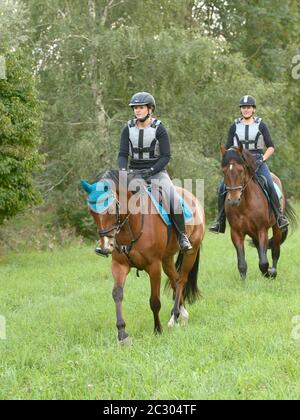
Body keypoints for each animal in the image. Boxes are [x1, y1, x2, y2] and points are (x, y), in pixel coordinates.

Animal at [81, 169, 205, 342]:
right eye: (91, 212)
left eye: (112, 209)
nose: (106, 246)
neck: (130, 226)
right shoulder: (119, 265)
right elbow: (117, 294)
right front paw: (122, 333)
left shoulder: (154, 266)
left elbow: (154, 301)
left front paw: (157, 330)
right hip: (167, 259)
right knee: (175, 279)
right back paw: (182, 315)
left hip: (190, 253)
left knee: (181, 280)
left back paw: (174, 317)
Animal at [220, 144, 298, 278]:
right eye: (224, 171)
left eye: (241, 170)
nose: (234, 200)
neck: (245, 204)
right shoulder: (236, 233)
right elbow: (242, 264)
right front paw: (245, 280)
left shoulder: (262, 229)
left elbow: (263, 263)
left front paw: (269, 273)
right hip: (253, 232)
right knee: (260, 249)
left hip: (276, 228)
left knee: (275, 251)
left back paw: (273, 270)